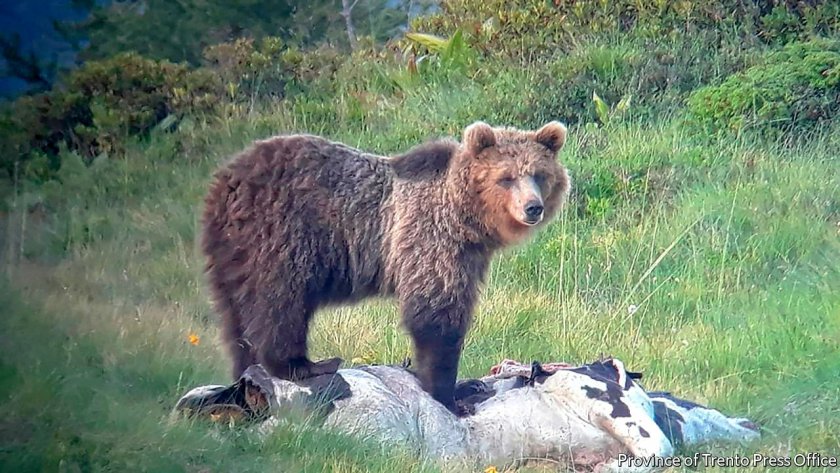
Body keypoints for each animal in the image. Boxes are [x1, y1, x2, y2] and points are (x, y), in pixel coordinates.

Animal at [203, 121, 572, 412]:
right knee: (280, 300)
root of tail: (226, 181)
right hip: (282, 234)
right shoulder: (430, 238)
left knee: (236, 316)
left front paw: (464, 385)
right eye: (506, 178)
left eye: (539, 175)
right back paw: (305, 365)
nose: (533, 207)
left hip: (232, 254)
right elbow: (435, 313)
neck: (465, 218)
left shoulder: (469, 254)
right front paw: (449, 393)